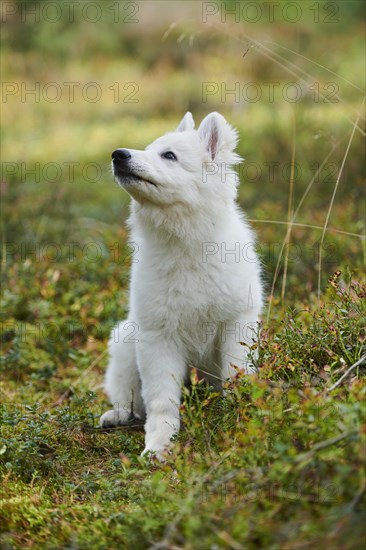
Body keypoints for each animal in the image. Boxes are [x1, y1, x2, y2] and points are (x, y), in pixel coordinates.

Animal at [101, 111, 264, 458]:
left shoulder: (236, 324)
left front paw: (240, 419)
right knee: (128, 394)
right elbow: (161, 401)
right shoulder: (157, 337)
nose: (118, 155)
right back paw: (119, 414)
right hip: (125, 341)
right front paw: (159, 445)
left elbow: (236, 375)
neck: (185, 242)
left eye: (169, 156)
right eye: (149, 149)